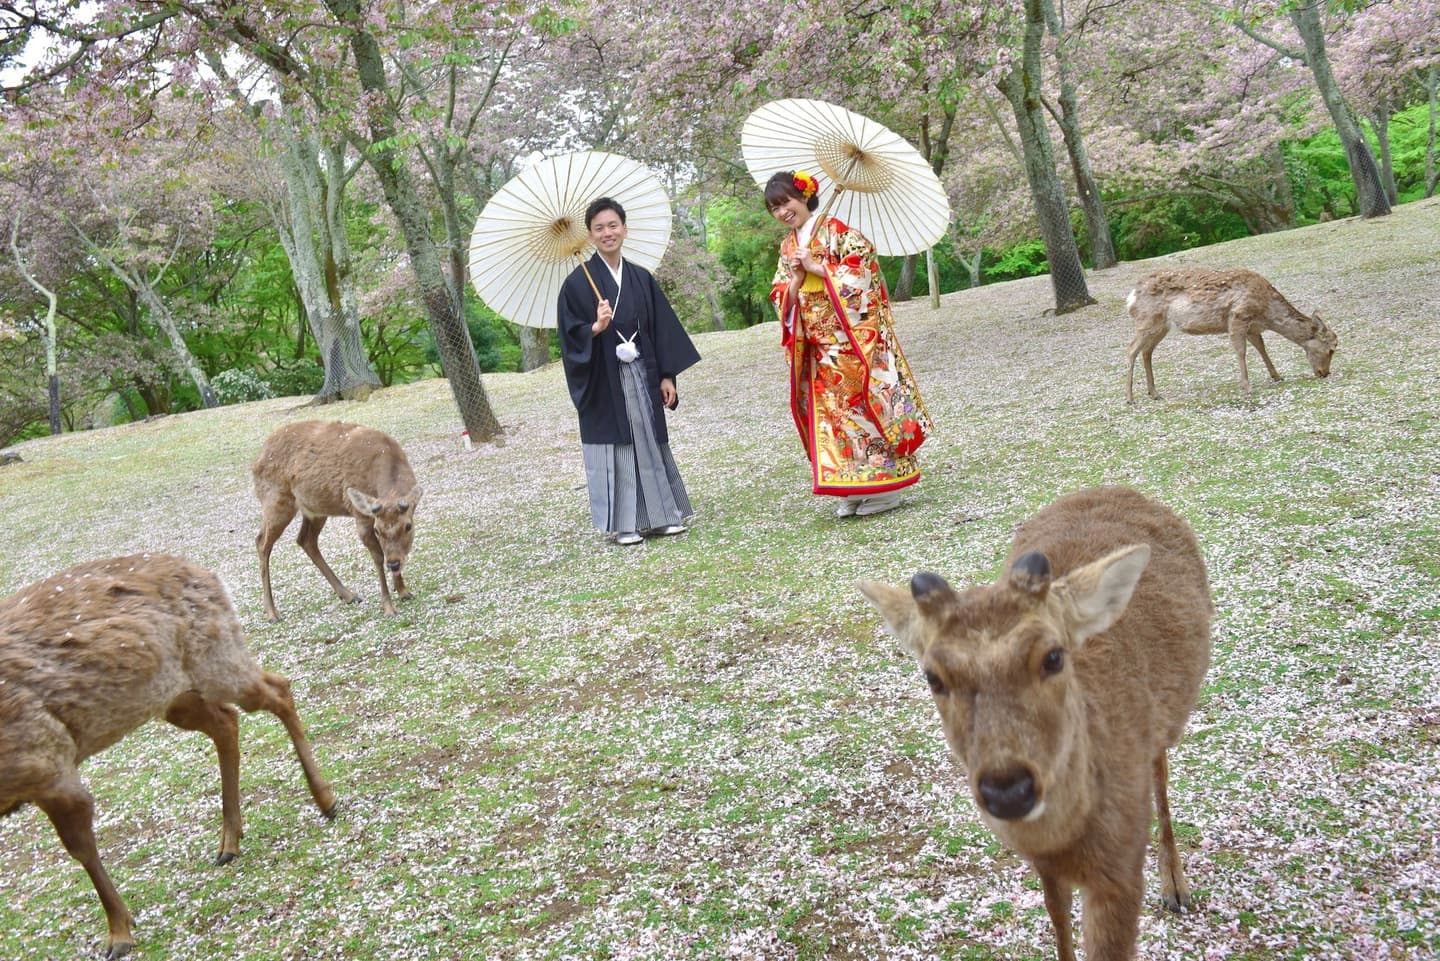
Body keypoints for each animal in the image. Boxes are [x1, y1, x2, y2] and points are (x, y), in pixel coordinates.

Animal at [0, 553, 334, 956]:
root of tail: (207, 574)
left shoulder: (46, 759)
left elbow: (80, 847)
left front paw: (119, 934)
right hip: (175, 697)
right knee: (226, 720)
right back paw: (229, 842)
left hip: (217, 657)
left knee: (277, 688)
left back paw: (326, 801)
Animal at [252, 417, 420, 616]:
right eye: (377, 530)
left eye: (408, 526)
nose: (393, 564)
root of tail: (256, 461)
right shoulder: (360, 515)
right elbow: (378, 557)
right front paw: (388, 607)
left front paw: (403, 591)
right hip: (276, 502)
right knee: (262, 542)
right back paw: (272, 612)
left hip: (315, 509)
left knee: (305, 540)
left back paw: (348, 595)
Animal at [858, 489, 1209, 961]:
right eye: (933, 677)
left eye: (1054, 656)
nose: (1008, 791)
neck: (1069, 844)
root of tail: (1112, 488)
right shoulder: (1044, 867)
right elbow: (1058, 922)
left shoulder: (1121, 871)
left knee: (1161, 772)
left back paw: (1175, 886)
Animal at [1123, 269, 1336, 403]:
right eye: (1331, 349)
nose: (1324, 373)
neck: (1266, 313)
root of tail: (1131, 296)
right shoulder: (1238, 317)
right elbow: (1241, 352)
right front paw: (1247, 387)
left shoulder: (1252, 328)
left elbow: (1261, 348)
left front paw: (1277, 376)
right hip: (1147, 320)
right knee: (1132, 348)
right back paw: (1130, 398)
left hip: (1160, 326)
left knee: (1147, 352)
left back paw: (1153, 393)